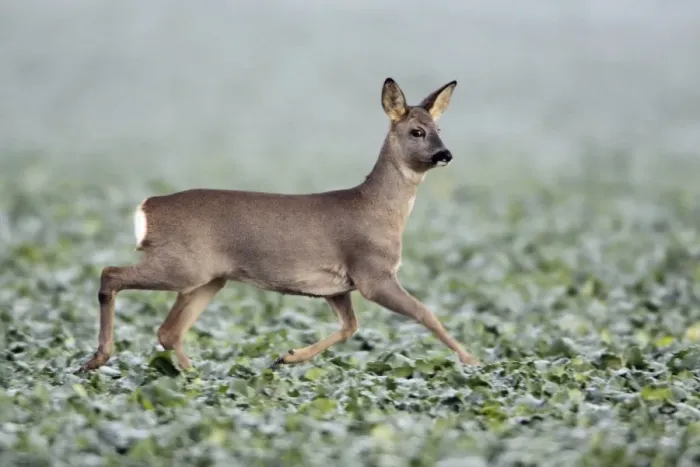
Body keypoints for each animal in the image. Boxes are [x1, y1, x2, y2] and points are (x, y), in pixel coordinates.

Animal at [81, 77, 480, 373]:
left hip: (209, 278)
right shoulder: (373, 273)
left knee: (168, 330)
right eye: (416, 132)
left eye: (439, 127)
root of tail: (146, 207)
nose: (445, 154)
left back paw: (193, 376)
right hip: (182, 266)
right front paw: (472, 360)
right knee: (111, 275)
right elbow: (427, 314)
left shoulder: (338, 287)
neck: (378, 209)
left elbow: (350, 327)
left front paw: (287, 356)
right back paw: (98, 358)